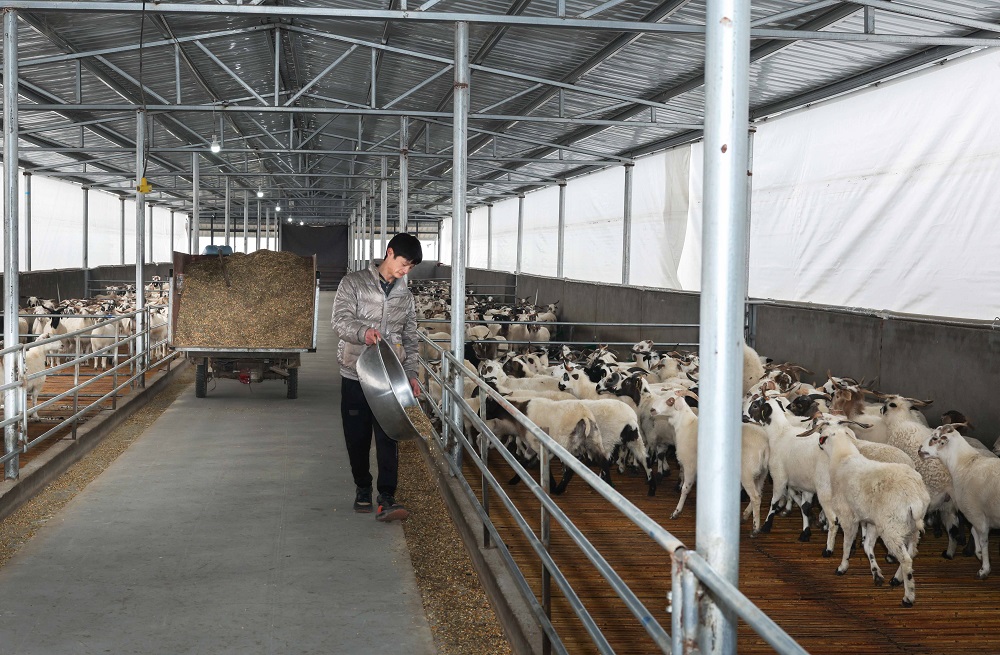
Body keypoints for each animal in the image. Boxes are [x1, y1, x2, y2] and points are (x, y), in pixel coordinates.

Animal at [810, 422, 929, 607]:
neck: (843, 457)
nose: (819, 443)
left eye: (824, 434)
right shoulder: (872, 522)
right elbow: (867, 546)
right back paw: (897, 578)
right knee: (912, 551)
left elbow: (847, 544)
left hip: (892, 528)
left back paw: (908, 596)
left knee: (906, 559)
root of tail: (915, 498)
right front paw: (876, 573)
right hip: (911, 527)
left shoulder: (847, 516)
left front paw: (842, 567)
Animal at [918, 424, 1000, 579]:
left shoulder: (976, 514)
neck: (966, 464)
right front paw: (978, 554)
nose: (919, 449)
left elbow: (983, 541)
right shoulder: (978, 516)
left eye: (935, 438)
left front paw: (984, 569)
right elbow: (973, 531)